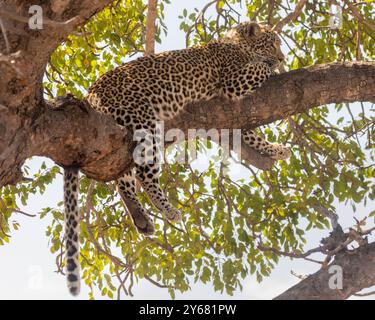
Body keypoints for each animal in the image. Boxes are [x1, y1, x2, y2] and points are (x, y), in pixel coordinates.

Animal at [64, 20, 294, 296]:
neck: (238, 45)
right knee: (143, 174)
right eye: (271, 44)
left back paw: (141, 219)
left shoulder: (232, 120)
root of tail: (90, 94)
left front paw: (277, 149)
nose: (282, 58)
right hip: (145, 123)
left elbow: (253, 136)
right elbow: (260, 68)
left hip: (121, 141)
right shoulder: (233, 80)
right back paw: (168, 210)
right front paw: (275, 67)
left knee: (123, 180)